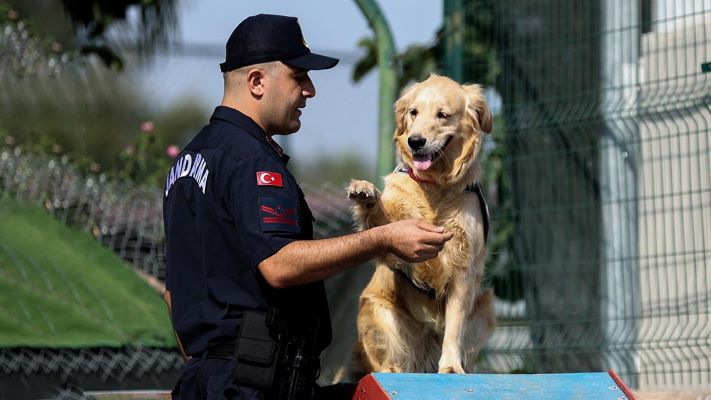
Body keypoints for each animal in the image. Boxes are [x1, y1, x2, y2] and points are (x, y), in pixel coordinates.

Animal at [344, 75, 496, 378]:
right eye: (413, 112)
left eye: (442, 115)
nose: (415, 141)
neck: (435, 186)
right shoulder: (393, 244)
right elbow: (383, 224)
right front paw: (365, 191)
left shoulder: (463, 269)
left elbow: (454, 327)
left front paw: (450, 365)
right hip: (376, 309)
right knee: (387, 358)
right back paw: (391, 370)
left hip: (485, 308)